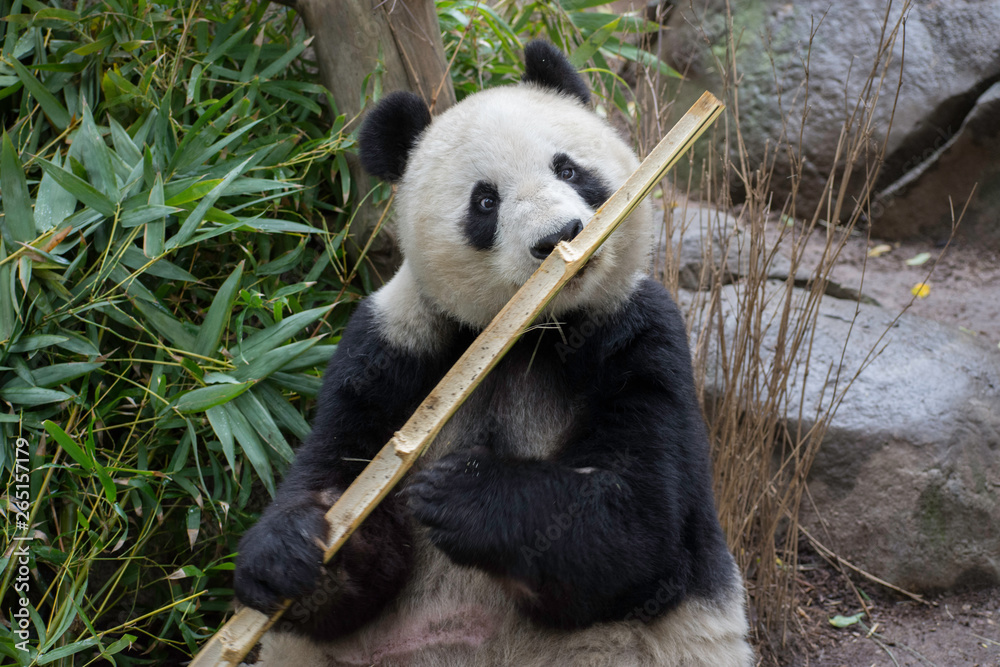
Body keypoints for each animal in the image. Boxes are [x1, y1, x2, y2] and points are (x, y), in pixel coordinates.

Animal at [233, 41, 752, 667]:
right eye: (485, 201)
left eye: (567, 169)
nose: (559, 237)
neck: (529, 327)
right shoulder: (397, 343)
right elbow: (347, 490)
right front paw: (289, 552)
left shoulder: (637, 332)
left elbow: (639, 528)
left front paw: (461, 491)